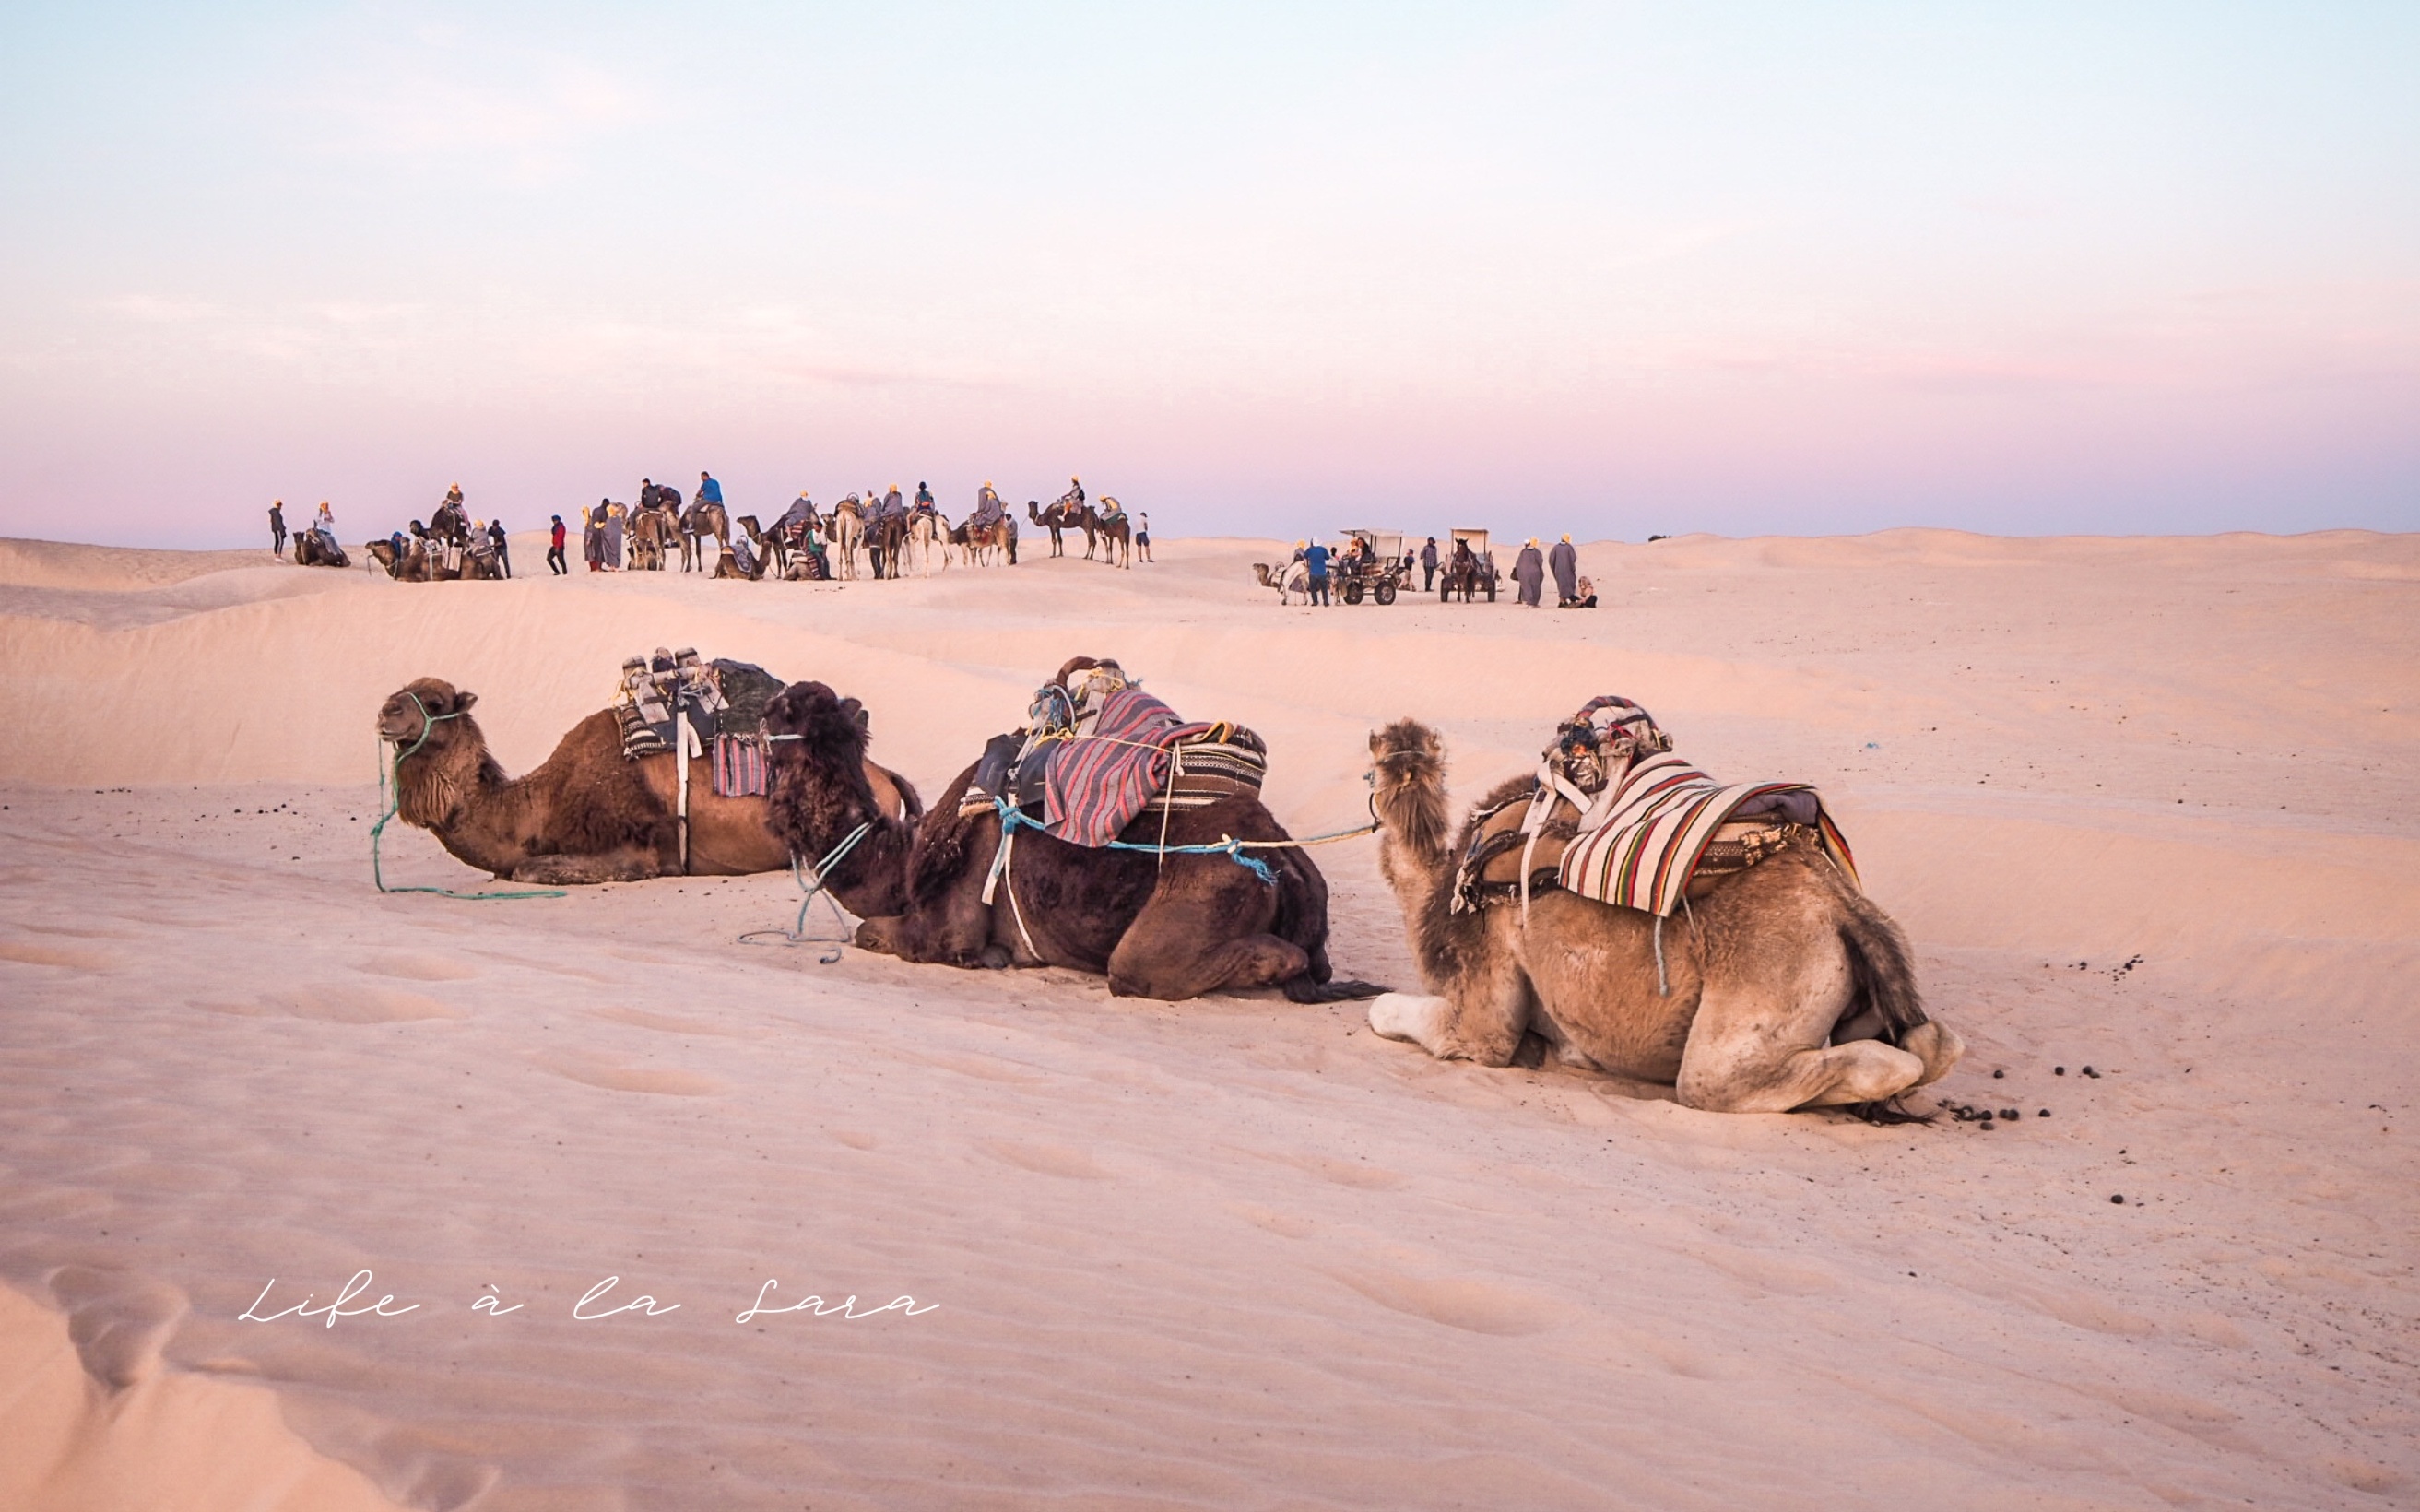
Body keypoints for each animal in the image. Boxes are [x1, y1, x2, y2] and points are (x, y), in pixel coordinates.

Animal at [377, 677, 915, 885]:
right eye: (401, 691)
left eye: (437, 701)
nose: (386, 712)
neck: (541, 804)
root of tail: (885, 776)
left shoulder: (634, 852)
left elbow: (527, 870)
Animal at [764, 657, 1394, 1001]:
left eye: (783, 711)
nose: (769, 698)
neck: (909, 857)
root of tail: (1284, 862)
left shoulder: (947, 929)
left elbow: (868, 931)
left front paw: (988, 958)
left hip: (1184, 919)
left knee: (1143, 968)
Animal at [1364, 711, 1965, 1113]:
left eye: (1369, 766)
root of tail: (1843, 906)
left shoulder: (1482, 1011)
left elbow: (1390, 1012)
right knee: (1933, 1044)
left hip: (1755, 1001)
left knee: (1724, 1079)